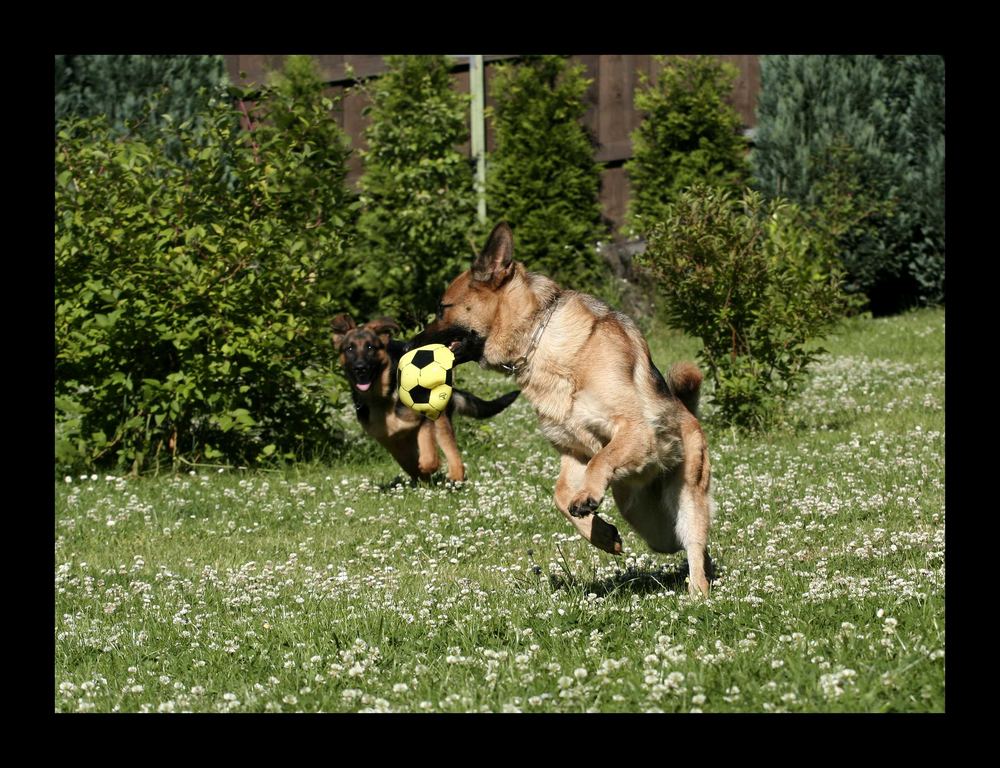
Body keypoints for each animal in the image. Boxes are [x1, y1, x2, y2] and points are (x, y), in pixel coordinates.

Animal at [332, 314, 520, 484]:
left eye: (370, 347)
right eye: (349, 349)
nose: (360, 368)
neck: (382, 398)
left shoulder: (424, 420)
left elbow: (429, 457)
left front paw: (429, 467)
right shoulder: (388, 439)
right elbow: (408, 463)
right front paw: (420, 476)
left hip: (440, 419)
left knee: (451, 451)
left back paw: (455, 475)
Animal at [410, 222, 716, 592]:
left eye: (443, 308)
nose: (408, 343)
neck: (537, 337)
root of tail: (688, 413)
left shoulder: (634, 430)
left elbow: (603, 458)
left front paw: (587, 500)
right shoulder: (573, 452)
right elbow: (560, 496)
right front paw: (600, 534)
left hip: (685, 501)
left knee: (693, 544)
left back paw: (699, 590)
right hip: (646, 519)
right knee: (676, 543)